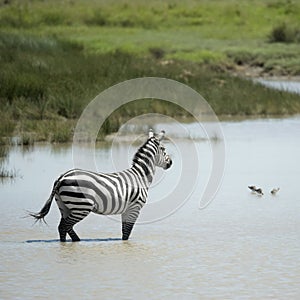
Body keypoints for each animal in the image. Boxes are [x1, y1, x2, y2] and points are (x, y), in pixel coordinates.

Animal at [30, 129, 172, 241]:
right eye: (163, 149)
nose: (170, 163)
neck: (139, 176)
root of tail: (62, 177)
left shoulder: (127, 209)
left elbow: (124, 232)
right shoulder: (134, 208)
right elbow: (127, 232)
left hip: (64, 206)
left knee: (64, 227)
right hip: (80, 206)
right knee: (65, 226)